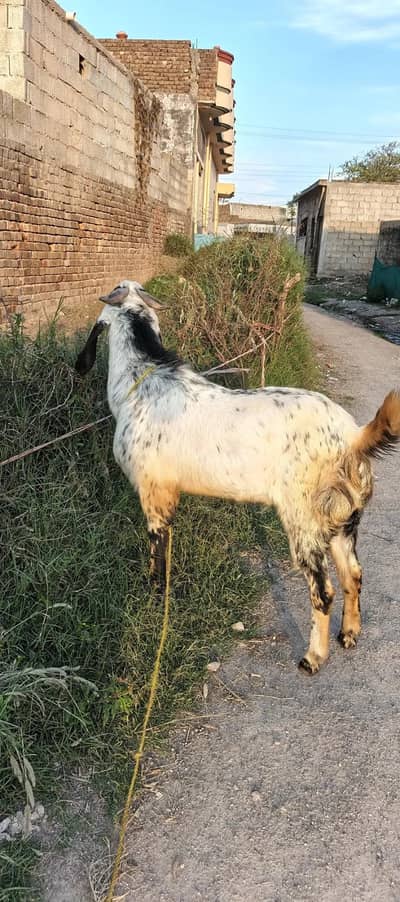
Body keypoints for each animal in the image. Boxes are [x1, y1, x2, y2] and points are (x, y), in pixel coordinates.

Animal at [75, 280, 400, 674]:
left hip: (303, 517)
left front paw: (155, 596)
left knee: (323, 589)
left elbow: (158, 552)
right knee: (353, 572)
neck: (141, 381)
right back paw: (349, 634)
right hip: (342, 515)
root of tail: (352, 436)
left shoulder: (154, 491)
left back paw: (313, 657)